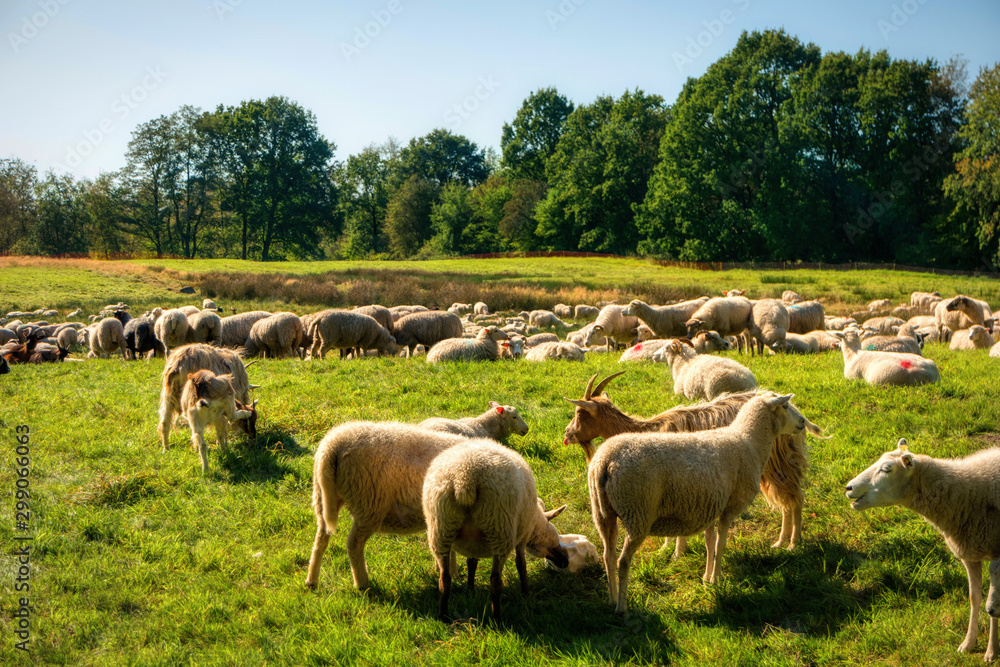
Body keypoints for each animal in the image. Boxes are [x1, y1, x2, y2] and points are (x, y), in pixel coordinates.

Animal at [423, 440, 568, 621]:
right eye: (555, 537)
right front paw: (526, 593)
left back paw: (443, 616)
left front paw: (470, 588)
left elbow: (472, 562)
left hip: (441, 529)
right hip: (500, 528)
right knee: (495, 580)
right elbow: (521, 564)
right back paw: (497, 619)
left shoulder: (472, 545)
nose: (565, 561)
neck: (535, 521)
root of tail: (464, 479)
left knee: (444, 578)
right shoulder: (522, 536)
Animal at [590, 392, 806, 612]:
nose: (803, 422)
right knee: (623, 562)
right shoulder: (729, 507)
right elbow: (720, 544)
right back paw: (621, 608)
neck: (748, 440)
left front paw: (706, 579)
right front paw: (717, 579)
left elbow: (710, 543)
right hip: (638, 513)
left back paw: (611, 598)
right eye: (786, 406)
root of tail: (605, 462)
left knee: (608, 556)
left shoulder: (710, 504)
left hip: (602, 513)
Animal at [846, 439, 1000, 662]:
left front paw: (991, 651)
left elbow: (993, 603)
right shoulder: (969, 555)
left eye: (886, 469)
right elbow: (975, 598)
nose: (848, 487)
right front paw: (968, 644)